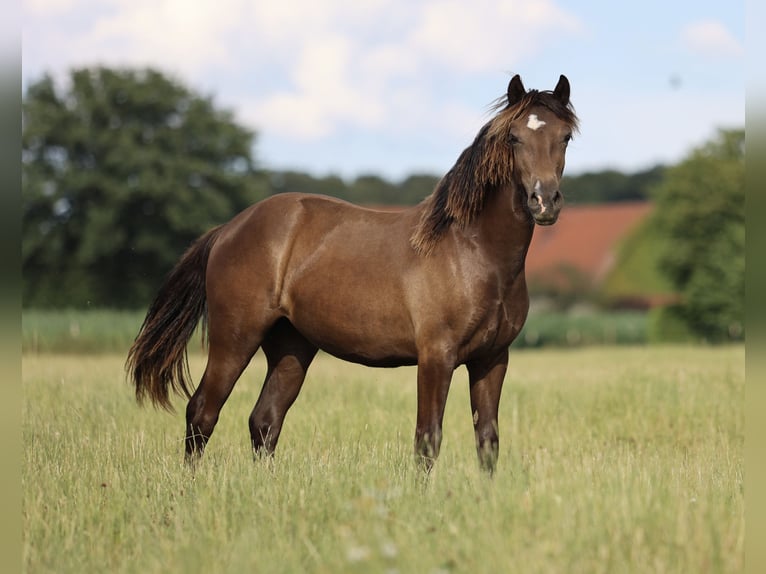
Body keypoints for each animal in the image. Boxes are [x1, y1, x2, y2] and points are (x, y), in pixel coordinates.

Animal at [127, 74, 584, 474]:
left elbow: (487, 441)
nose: (544, 201)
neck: (473, 251)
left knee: (264, 421)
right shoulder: (436, 358)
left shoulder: (492, 359)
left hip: (292, 347)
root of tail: (228, 229)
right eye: (514, 137)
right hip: (234, 339)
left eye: (565, 137)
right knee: (203, 412)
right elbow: (428, 439)